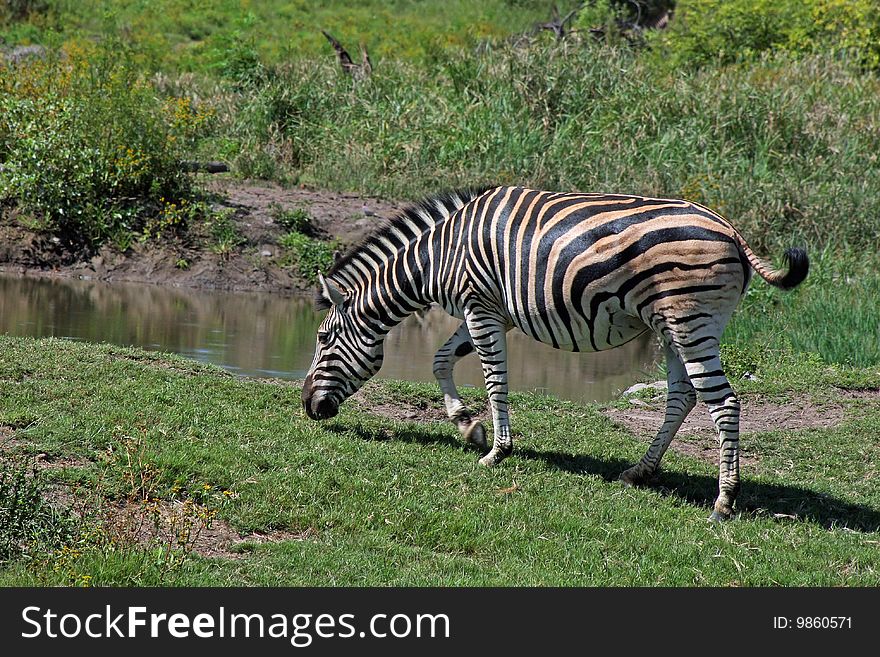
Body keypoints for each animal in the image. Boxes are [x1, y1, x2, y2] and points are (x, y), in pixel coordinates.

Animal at [300, 184, 808, 516]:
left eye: (323, 338)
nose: (307, 406)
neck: (439, 256)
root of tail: (731, 230)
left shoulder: (480, 307)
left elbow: (494, 380)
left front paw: (497, 451)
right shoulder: (488, 311)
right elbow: (441, 359)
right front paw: (468, 427)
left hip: (689, 321)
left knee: (723, 402)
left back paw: (724, 501)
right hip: (672, 326)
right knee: (682, 396)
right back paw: (639, 472)